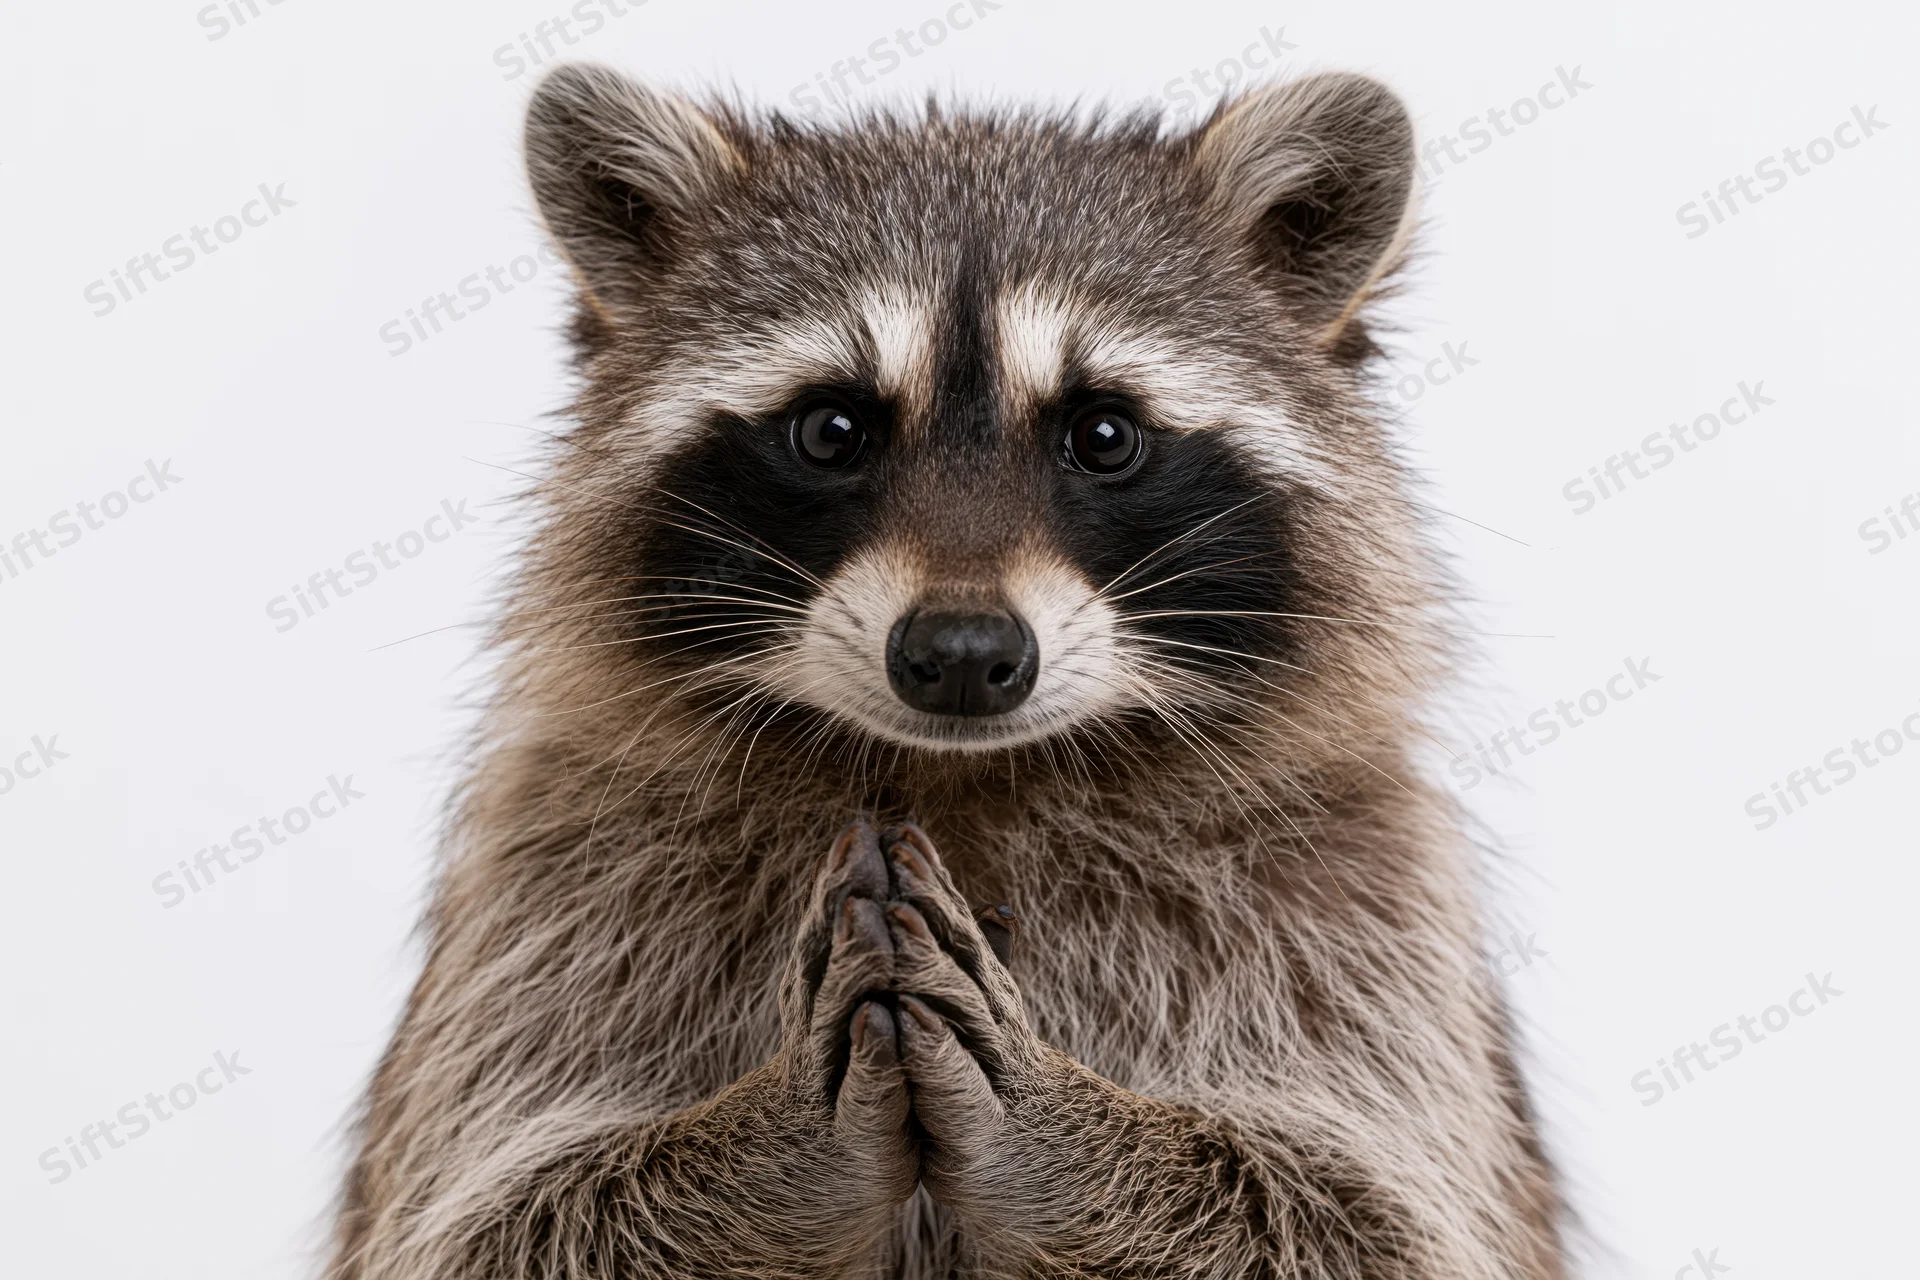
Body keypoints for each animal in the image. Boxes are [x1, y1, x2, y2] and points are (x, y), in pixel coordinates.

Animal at [328, 63, 1565, 1280]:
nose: (964, 656)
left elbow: (1378, 1220)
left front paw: (1056, 1128)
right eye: (831, 428)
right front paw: (782, 1129)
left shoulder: (1363, 893)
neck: (952, 771)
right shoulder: (553, 875)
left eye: (1104, 434)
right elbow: (486, 1219)